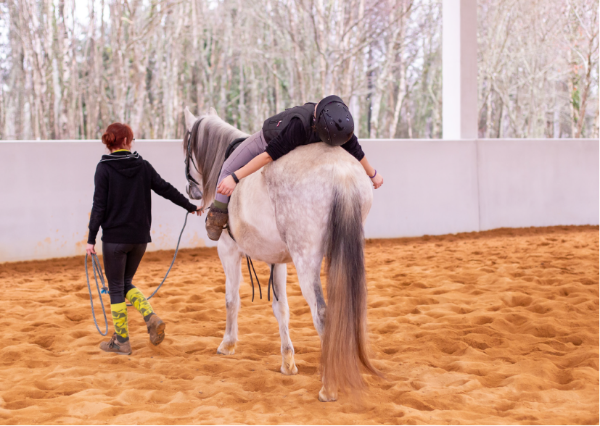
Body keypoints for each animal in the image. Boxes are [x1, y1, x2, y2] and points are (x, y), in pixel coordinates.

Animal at [184, 108, 380, 402]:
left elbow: (231, 300)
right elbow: (281, 309)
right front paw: (288, 362)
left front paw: (228, 344)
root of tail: (341, 173)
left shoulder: (228, 251)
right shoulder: (277, 261)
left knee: (323, 313)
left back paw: (329, 387)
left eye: (186, 146)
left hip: (306, 259)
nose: (191, 191)